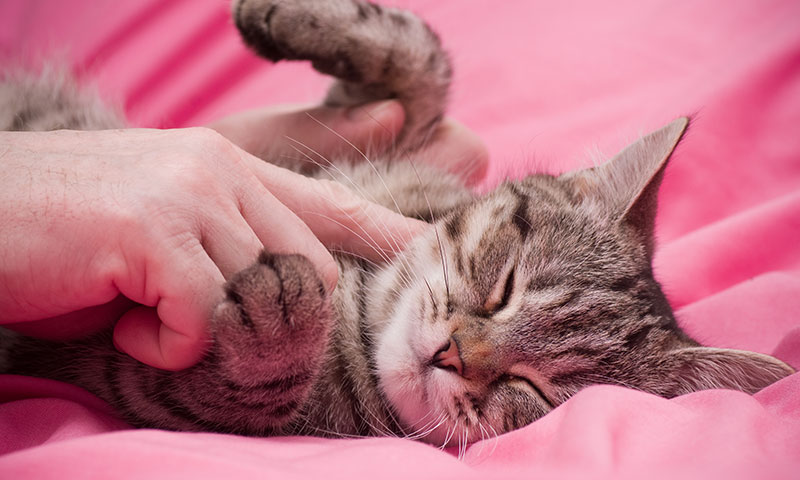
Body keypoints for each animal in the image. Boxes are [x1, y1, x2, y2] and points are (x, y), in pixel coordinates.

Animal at [0, 0, 792, 450]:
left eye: (535, 392)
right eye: (504, 286)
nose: (452, 355)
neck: (366, 306)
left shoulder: (146, 386)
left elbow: (250, 386)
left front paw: (279, 321)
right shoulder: (376, 140)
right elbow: (422, 68)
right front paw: (305, 18)